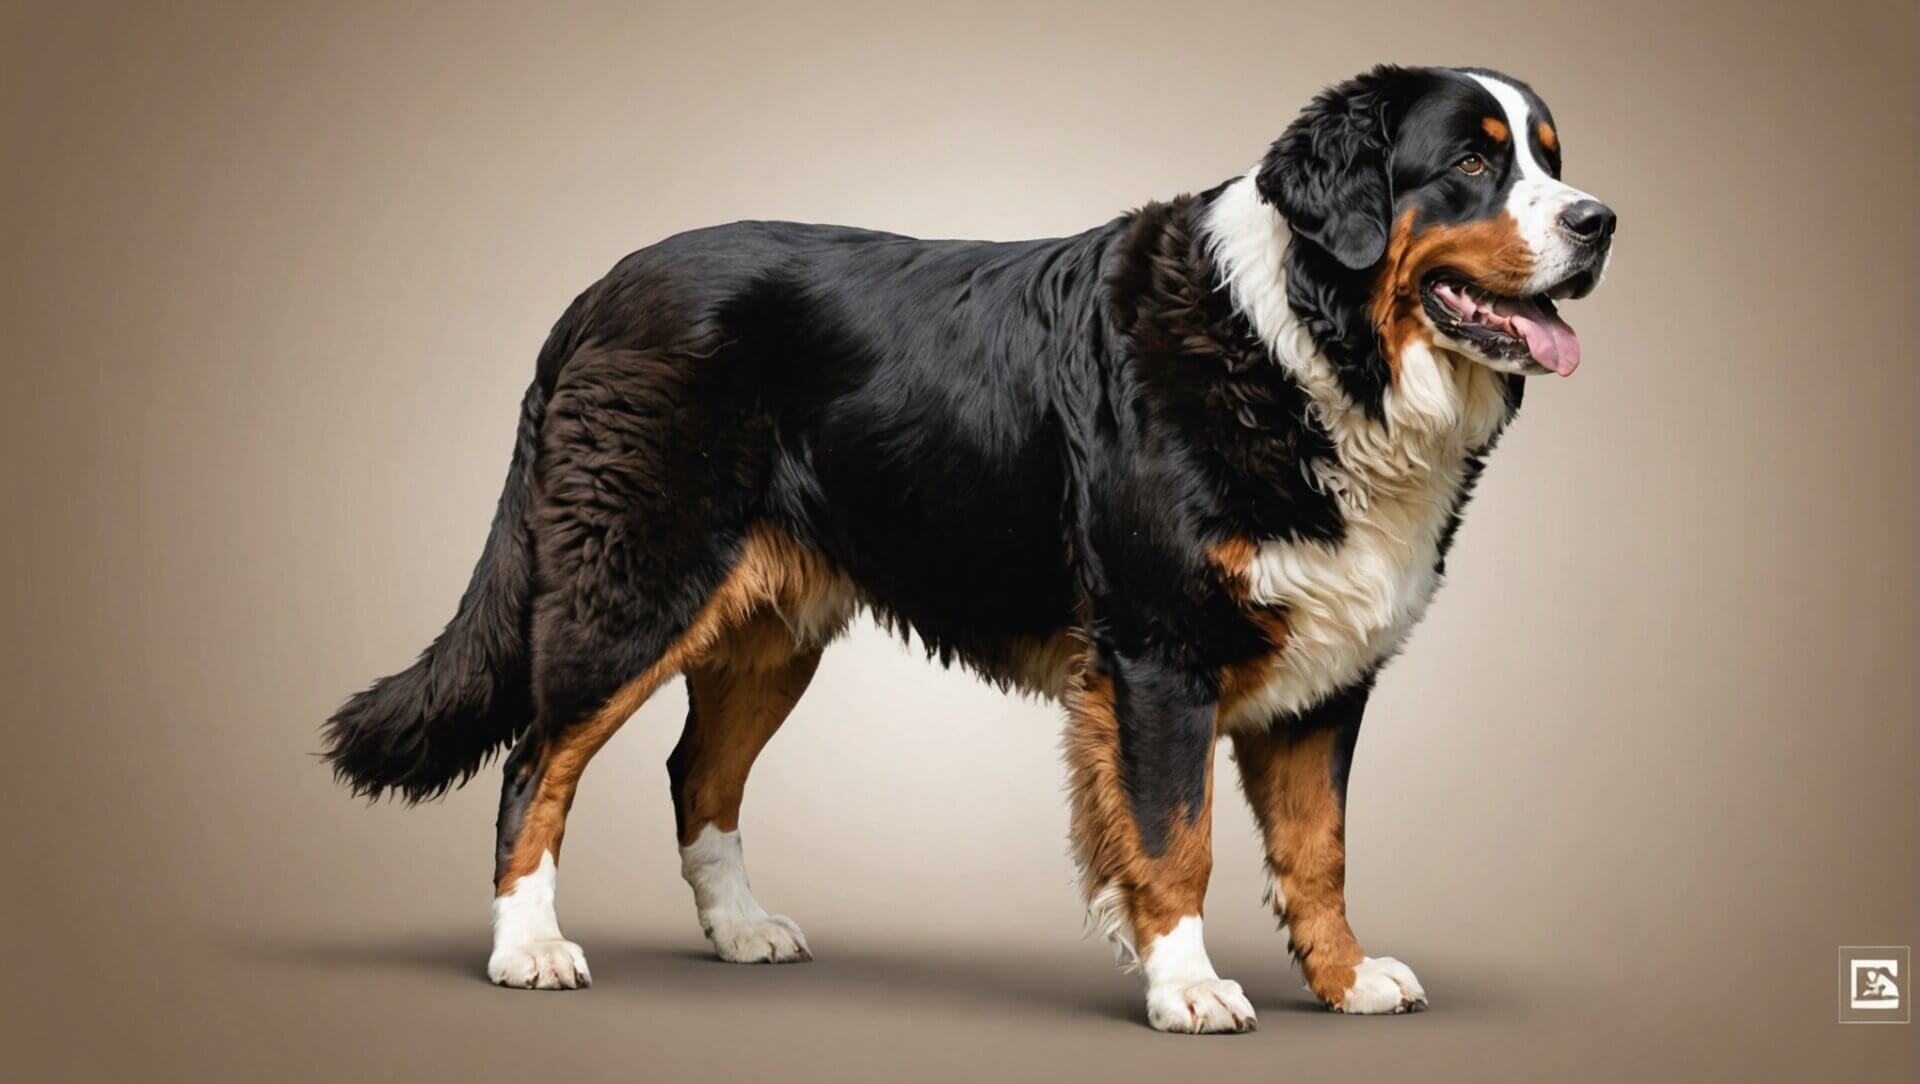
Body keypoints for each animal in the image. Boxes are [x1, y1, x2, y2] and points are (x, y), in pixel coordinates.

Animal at [330, 63, 1620, 1028]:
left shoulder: (1327, 672)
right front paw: (1189, 986)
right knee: (534, 765)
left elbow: (1319, 848)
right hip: (636, 581)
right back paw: (530, 948)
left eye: (1552, 156)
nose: (1600, 220)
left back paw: (741, 928)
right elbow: (1178, 838)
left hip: (771, 628)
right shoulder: (1158, 654)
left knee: (697, 772)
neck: (1305, 347)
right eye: (1472, 164)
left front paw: (1348, 978)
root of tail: (599, 292)